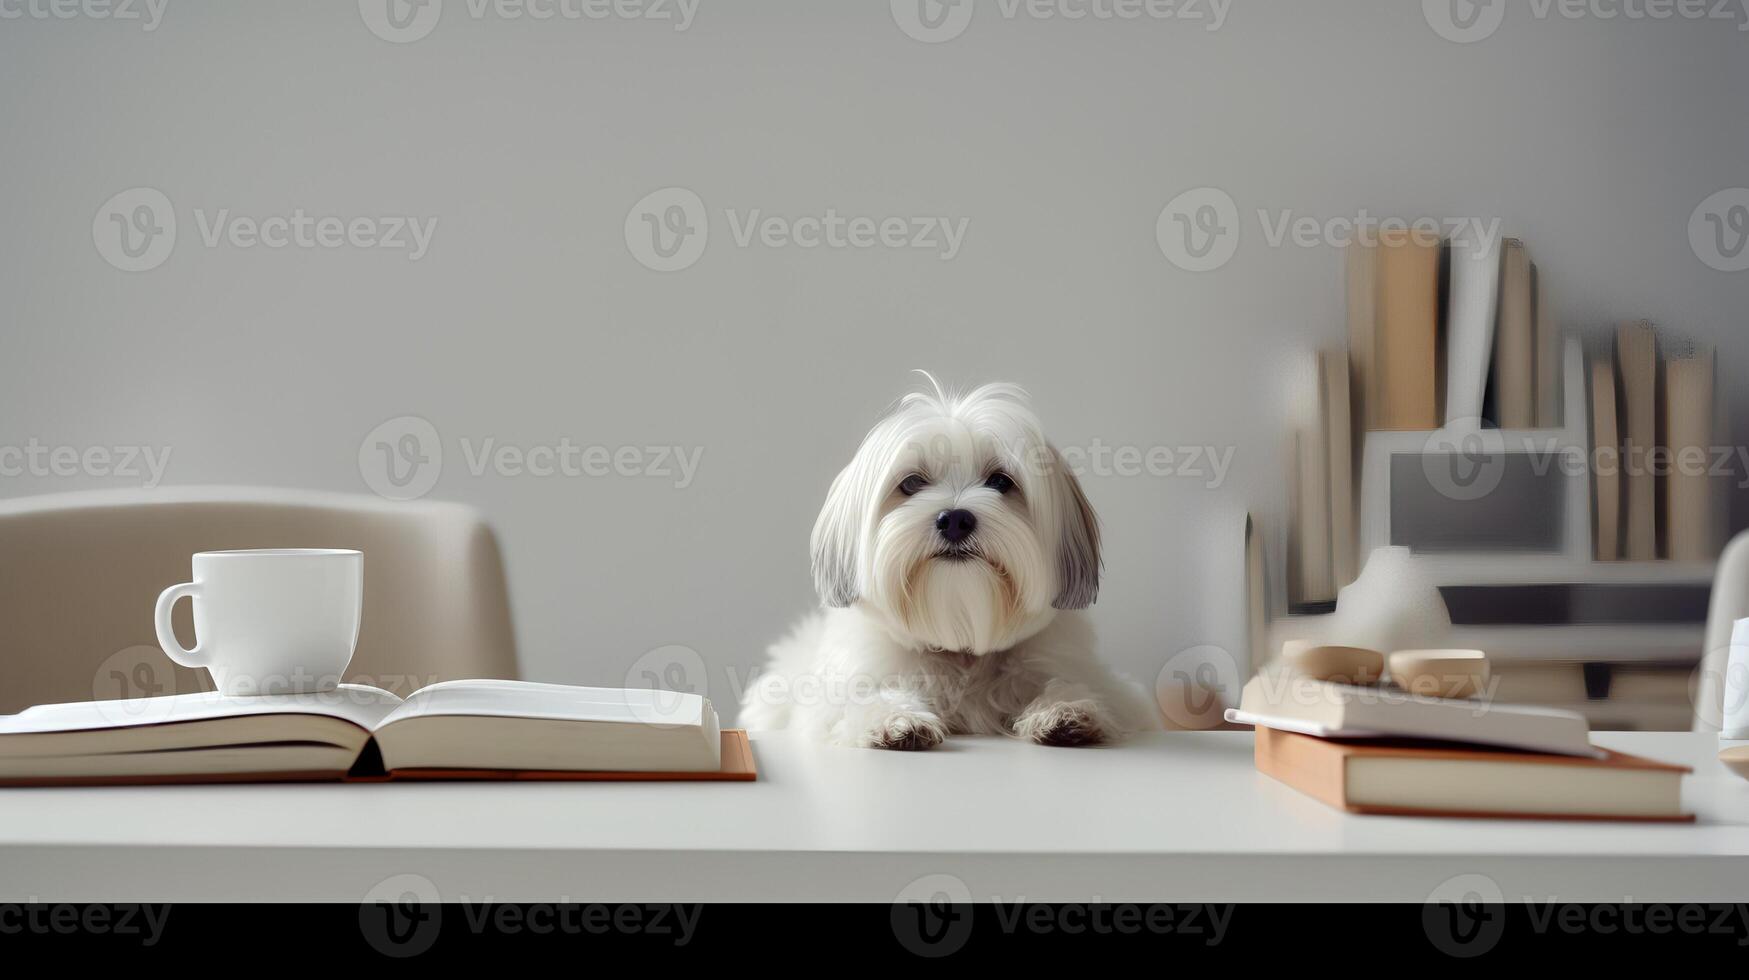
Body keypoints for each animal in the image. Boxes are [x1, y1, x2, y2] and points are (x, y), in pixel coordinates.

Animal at [741, 376, 1161, 749]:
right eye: (912, 483)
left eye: (1000, 481)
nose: (955, 519)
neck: (961, 645)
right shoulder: (835, 697)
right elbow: (860, 699)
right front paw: (894, 719)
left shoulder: (1101, 685)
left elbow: (1071, 687)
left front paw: (1065, 711)